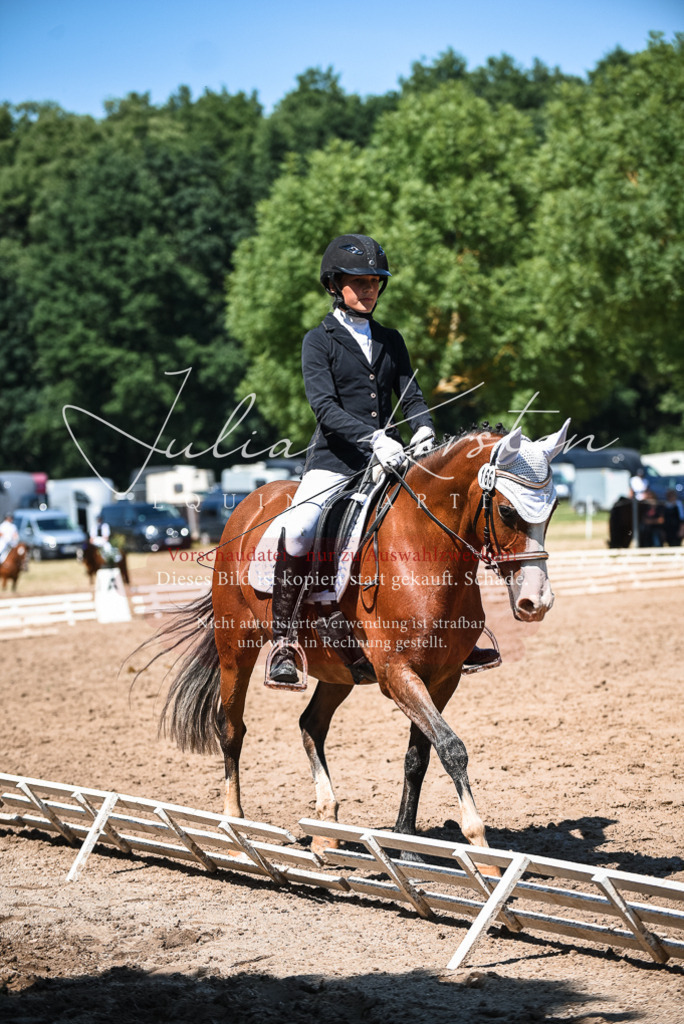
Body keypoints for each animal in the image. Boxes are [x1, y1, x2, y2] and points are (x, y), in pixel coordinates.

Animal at [154, 420, 569, 857]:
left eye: (553, 509)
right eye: (507, 510)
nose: (536, 602)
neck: (423, 549)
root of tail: (249, 504)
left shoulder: (443, 677)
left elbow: (420, 755)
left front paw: (407, 845)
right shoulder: (397, 674)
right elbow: (451, 747)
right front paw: (478, 842)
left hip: (340, 671)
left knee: (311, 724)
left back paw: (326, 826)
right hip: (236, 648)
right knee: (231, 728)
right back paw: (235, 827)